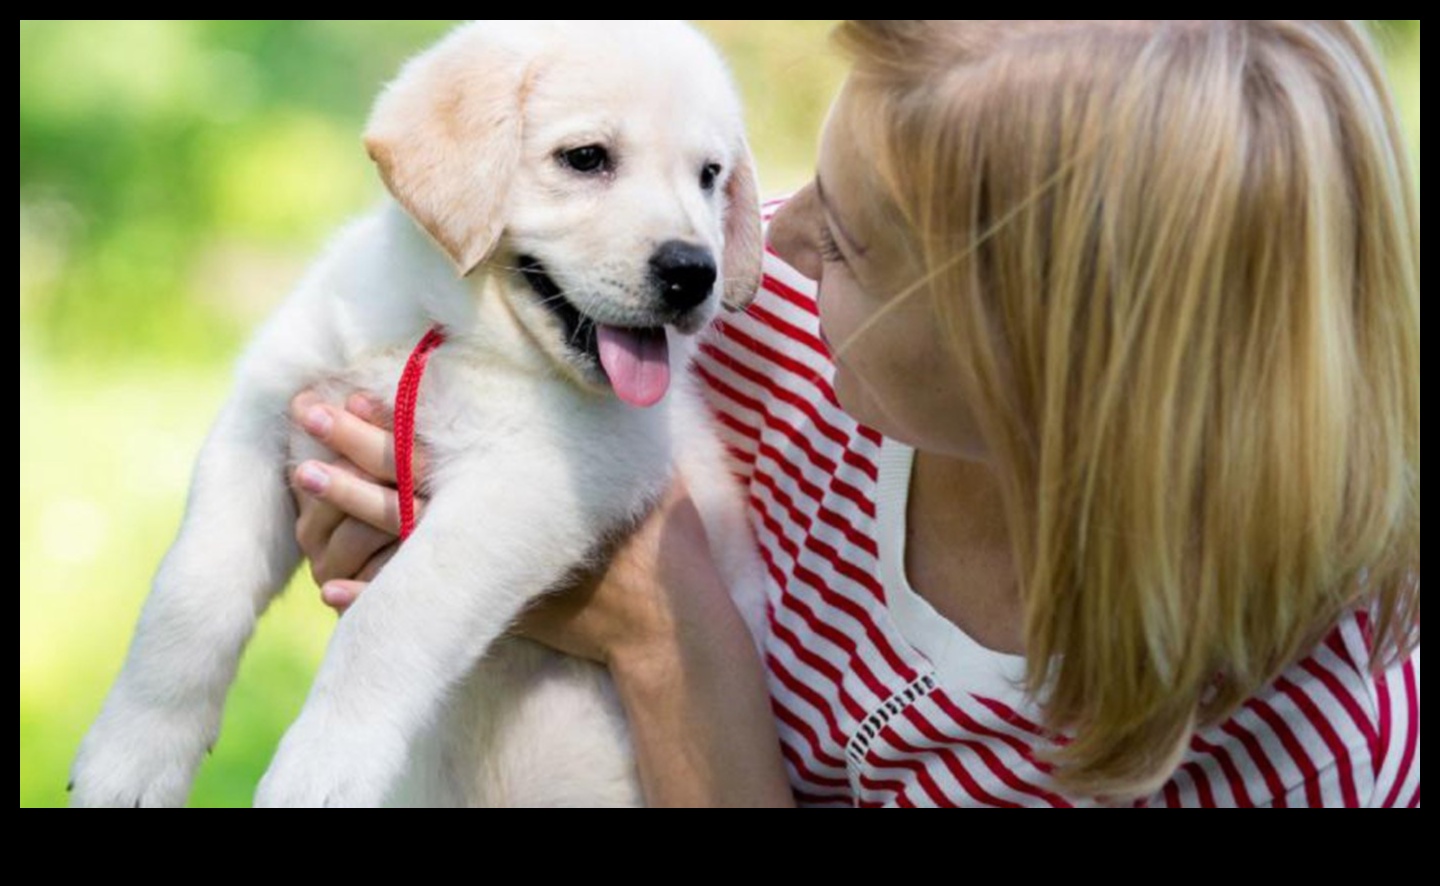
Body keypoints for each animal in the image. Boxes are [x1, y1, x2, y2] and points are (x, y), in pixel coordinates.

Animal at [70, 19, 766, 812]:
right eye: (586, 158)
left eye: (709, 175)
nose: (694, 273)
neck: (448, 330)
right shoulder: (260, 420)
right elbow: (190, 593)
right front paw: (131, 757)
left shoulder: (536, 483)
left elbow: (393, 613)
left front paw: (323, 765)